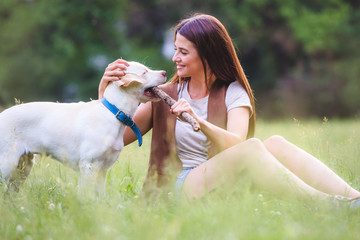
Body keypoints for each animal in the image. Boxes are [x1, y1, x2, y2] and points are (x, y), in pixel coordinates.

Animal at [0, 61, 166, 194]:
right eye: (144, 72)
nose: (164, 72)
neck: (114, 113)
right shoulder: (88, 166)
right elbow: (85, 195)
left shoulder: (103, 170)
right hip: (7, 164)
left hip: (22, 168)